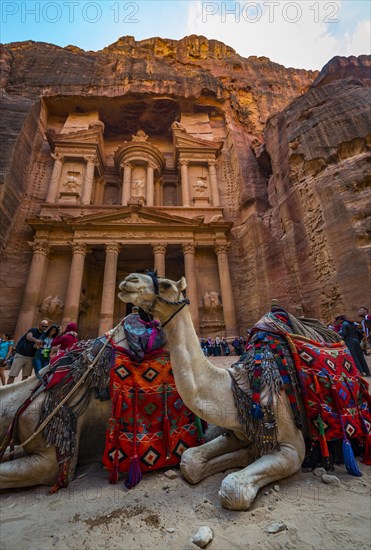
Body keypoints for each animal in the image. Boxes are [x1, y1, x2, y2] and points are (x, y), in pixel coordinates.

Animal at [117, 272, 346, 512]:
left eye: (166, 284)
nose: (129, 279)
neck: (238, 388)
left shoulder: (292, 447)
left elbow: (232, 489)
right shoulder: (238, 429)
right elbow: (190, 461)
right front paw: (247, 454)